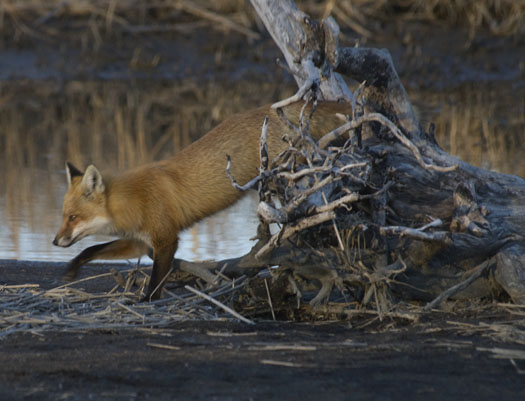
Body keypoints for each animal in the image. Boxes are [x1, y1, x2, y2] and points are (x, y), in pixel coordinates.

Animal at [52, 101, 348, 298]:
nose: (54, 242)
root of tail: (271, 107)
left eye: (73, 217)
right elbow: (91, 250)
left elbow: (155, 284)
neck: (132, 200)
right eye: (64, 216)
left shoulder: (166, 240)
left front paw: (146, 303)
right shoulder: (138, 241)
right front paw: (72, 269)